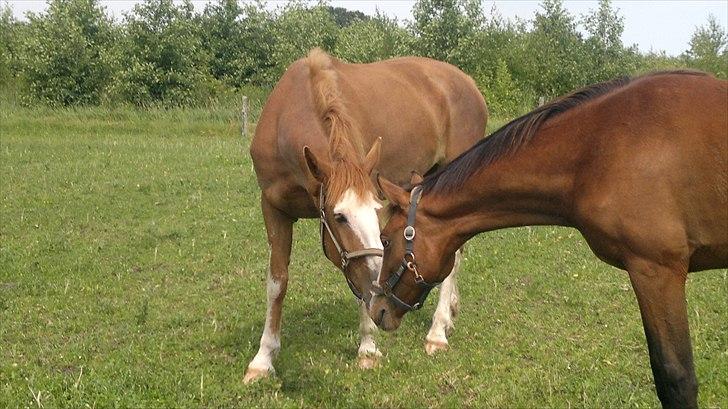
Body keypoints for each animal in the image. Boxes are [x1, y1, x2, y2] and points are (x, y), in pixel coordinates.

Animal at [246, 49, 490, 380]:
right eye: (339, 217)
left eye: (374, 212)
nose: (380, 290)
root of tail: (468, 84)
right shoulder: (273, 208)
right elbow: (277, 283)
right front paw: (263, 359)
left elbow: (360, 283)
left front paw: (368, 348)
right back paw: (449, 314)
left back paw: (437, 332)